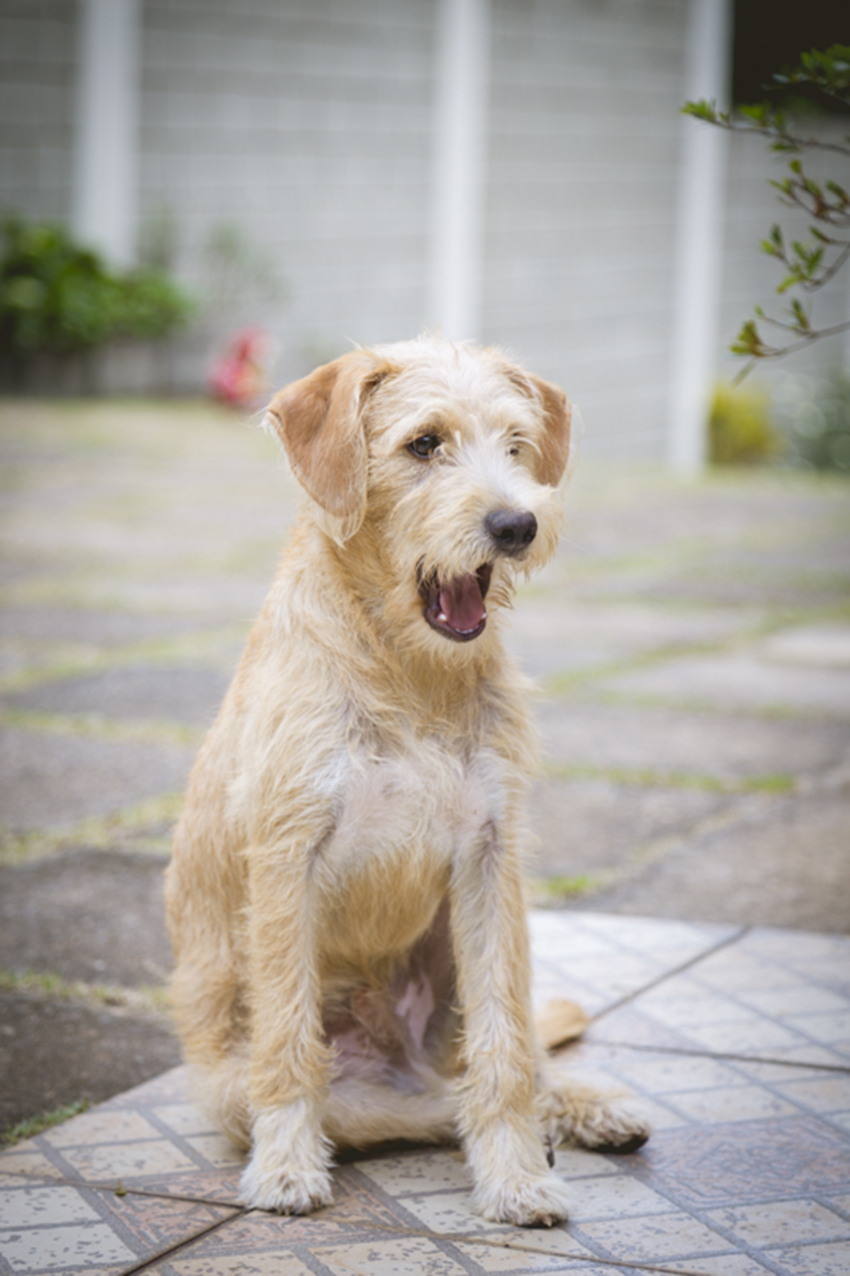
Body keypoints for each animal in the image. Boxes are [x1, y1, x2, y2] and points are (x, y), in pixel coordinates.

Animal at [163, 336, 643, 1224]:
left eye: (516, 444)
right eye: (424, 444)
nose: (517, 524)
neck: (408, 669)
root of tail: (396, 1057)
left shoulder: (490, 857)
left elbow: (504, 1046)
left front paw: (514, 1177)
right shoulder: (286, 858)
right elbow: (288, 1041)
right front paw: (285, 1168)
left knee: (503, 1062)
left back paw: (584, 1108)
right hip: (253, 1088)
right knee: (408, 1107)